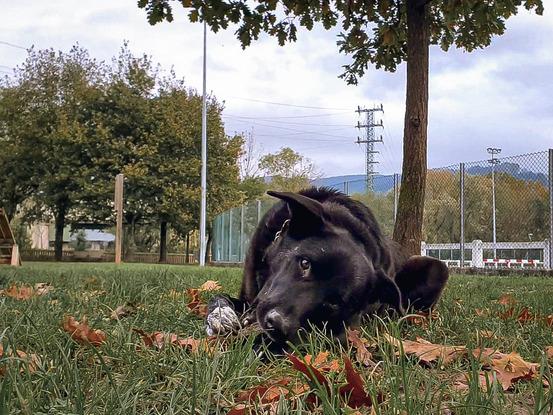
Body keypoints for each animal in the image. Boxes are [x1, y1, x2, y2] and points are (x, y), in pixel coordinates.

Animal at [207, 188, 448, 344]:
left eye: (333, 303)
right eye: (305, 263)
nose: (275, 324)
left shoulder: (344, 328)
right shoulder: (247, 297)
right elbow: (218, 297)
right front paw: (221, 315)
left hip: (438, 268)